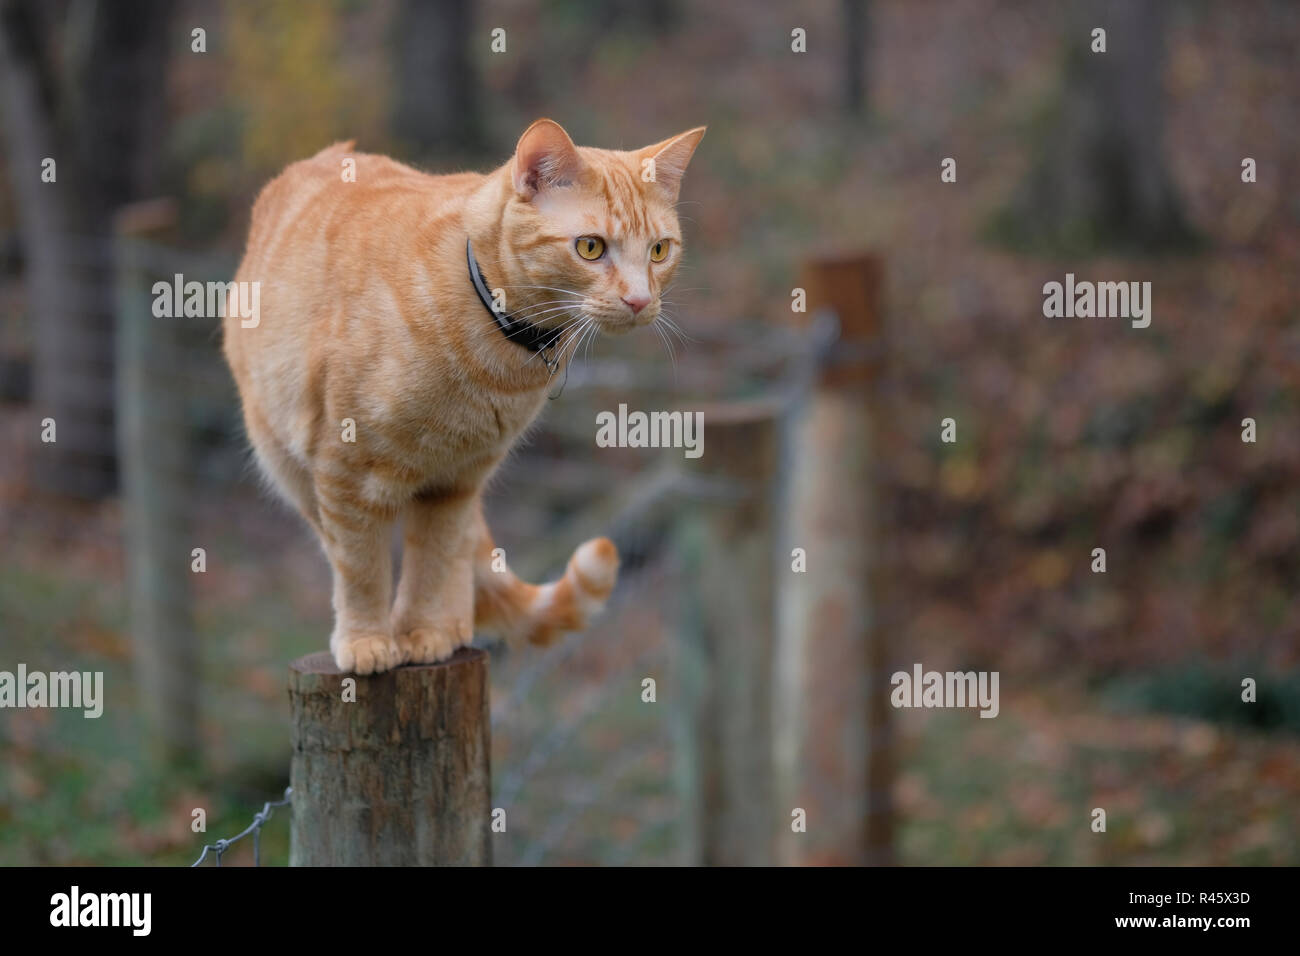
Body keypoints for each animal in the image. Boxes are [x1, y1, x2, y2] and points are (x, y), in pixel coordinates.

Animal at [228, 119, 707, 671]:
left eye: (659, 251)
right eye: (590, 248)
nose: (639, 300)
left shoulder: (457, 480)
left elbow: (435, 559)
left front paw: (425, 631)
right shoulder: (346, 473)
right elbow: (361, 566)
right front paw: (368, 640)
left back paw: (452, 623)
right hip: (287, 464)